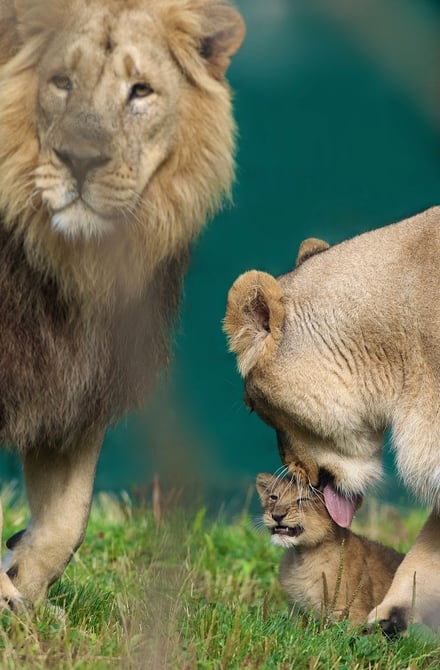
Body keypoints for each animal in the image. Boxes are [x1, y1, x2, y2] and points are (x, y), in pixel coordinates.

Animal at [0, 0, 244, 608]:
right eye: (61, 83)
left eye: (141, 91)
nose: (80, 160)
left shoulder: (82, 379)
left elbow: (71, 517)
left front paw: (23, 591)